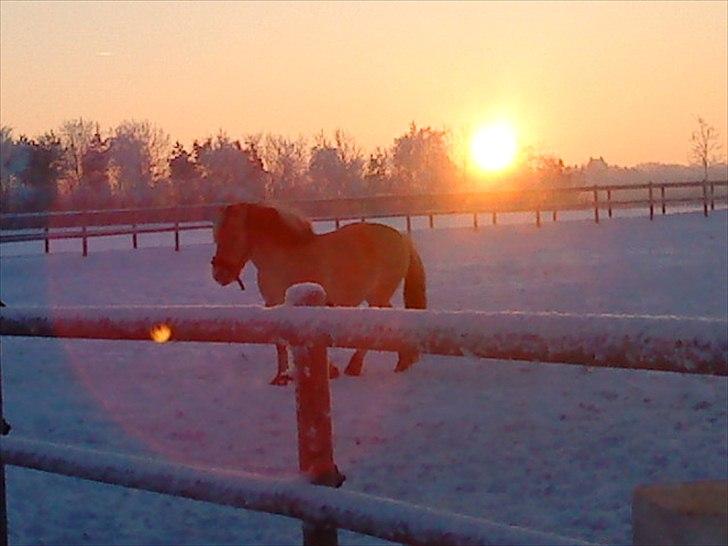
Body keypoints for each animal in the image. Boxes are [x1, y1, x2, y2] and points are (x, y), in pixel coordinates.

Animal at [210, 200, 426, 382]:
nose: (219, 275)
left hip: (378, 295)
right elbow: (279, 343)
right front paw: (281, 377)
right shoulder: (275, 305)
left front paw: (329, 371)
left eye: (234, 235)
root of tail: (401, 238)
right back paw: (402, 361)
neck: (284, 259)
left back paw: (359, 366)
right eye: (216, 237)